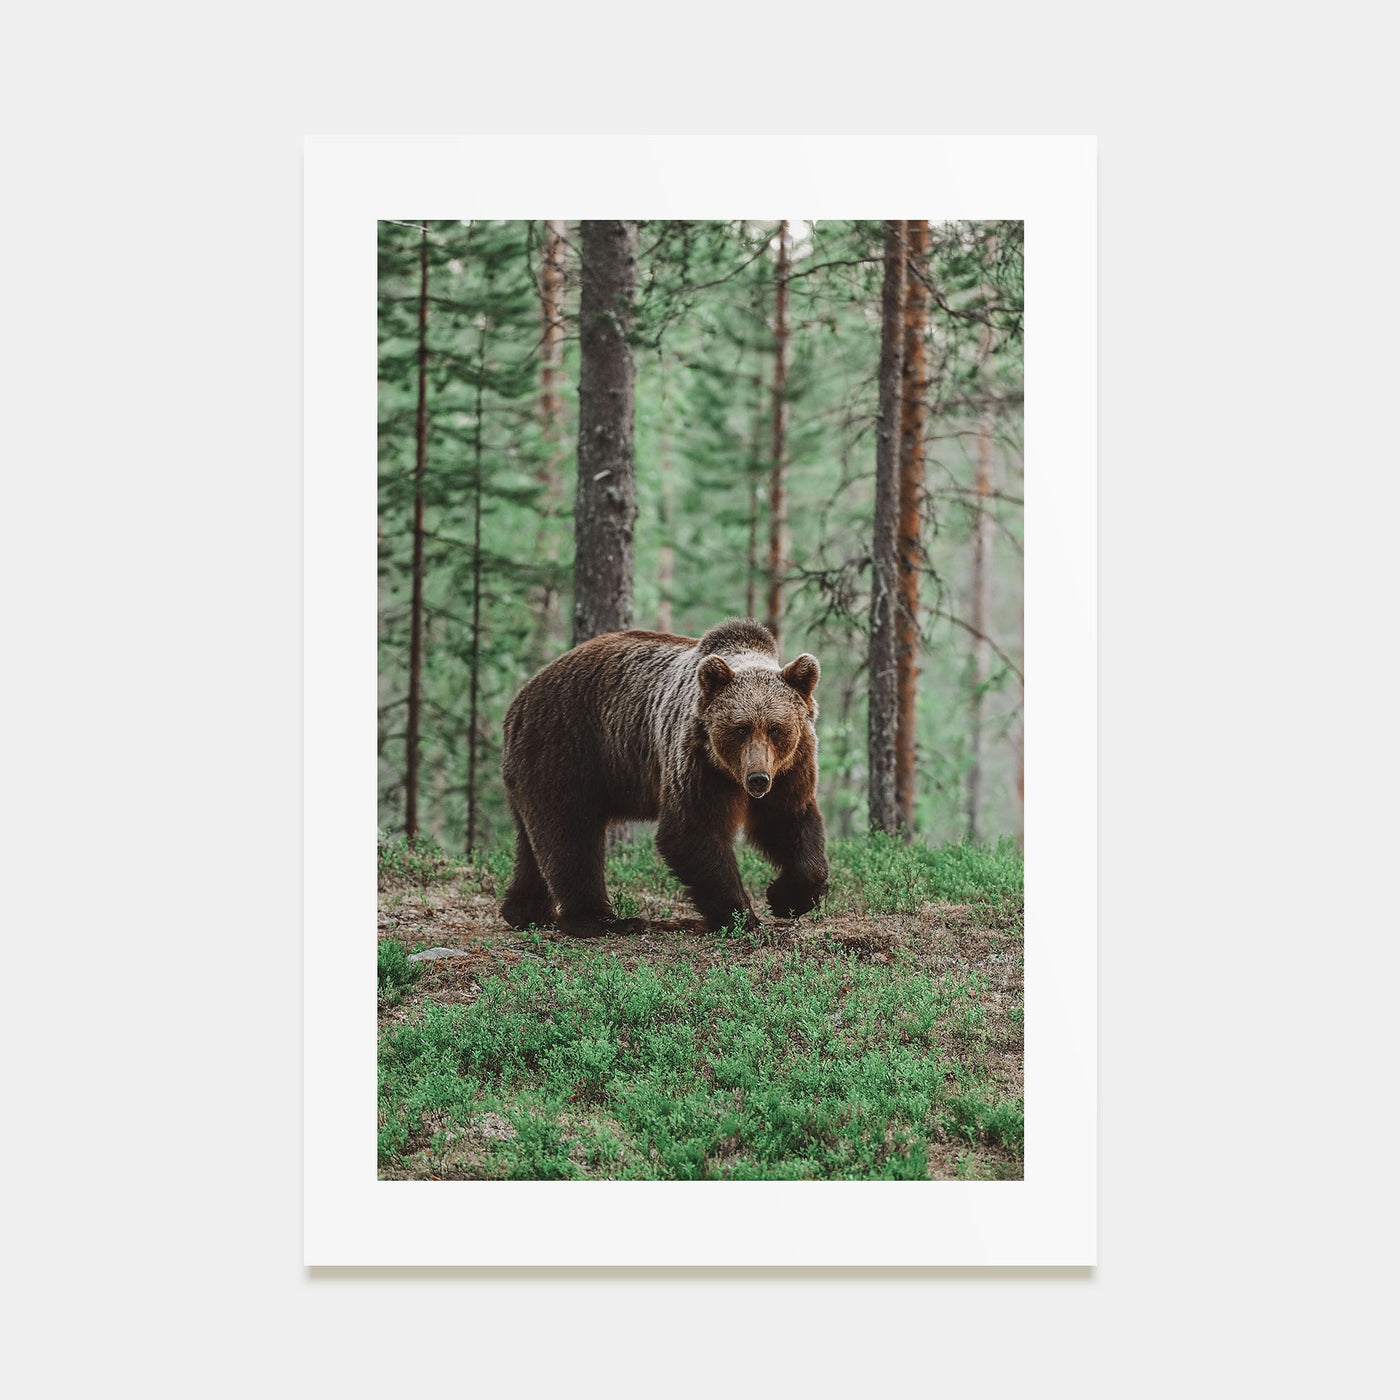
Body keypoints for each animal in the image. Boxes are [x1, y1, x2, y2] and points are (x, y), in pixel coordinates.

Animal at [500, 618, 829, 938]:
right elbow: (691, 831)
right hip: (567, 749)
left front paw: (785, 898)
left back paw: (524, 912)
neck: (730, 774)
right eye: (740, 728)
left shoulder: (790, 767)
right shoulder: (697, 761)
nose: (757, 778)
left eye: (776, 729)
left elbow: (787, 821)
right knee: (571, 834)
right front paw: (741, 918)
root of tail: (520, 698)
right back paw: (604, 920)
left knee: (534, 841)